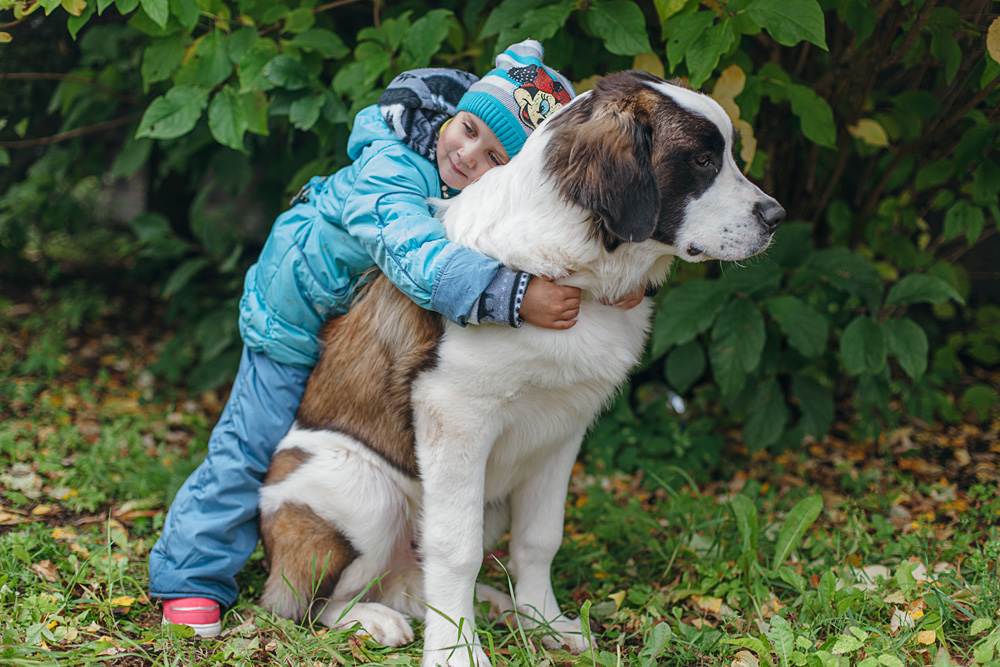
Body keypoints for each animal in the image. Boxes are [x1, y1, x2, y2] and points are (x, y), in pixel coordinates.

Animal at [256, 70, 780, 664]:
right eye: (702, 161)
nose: (776, 217)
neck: (573, 266)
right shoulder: (455, 417)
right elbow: (454, 546)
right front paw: (456, 650)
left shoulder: (563, 429)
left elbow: (540, 538)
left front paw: (544, 621)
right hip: (363, 493)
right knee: (307, 606)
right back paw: (374, 619)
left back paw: (485, 605)